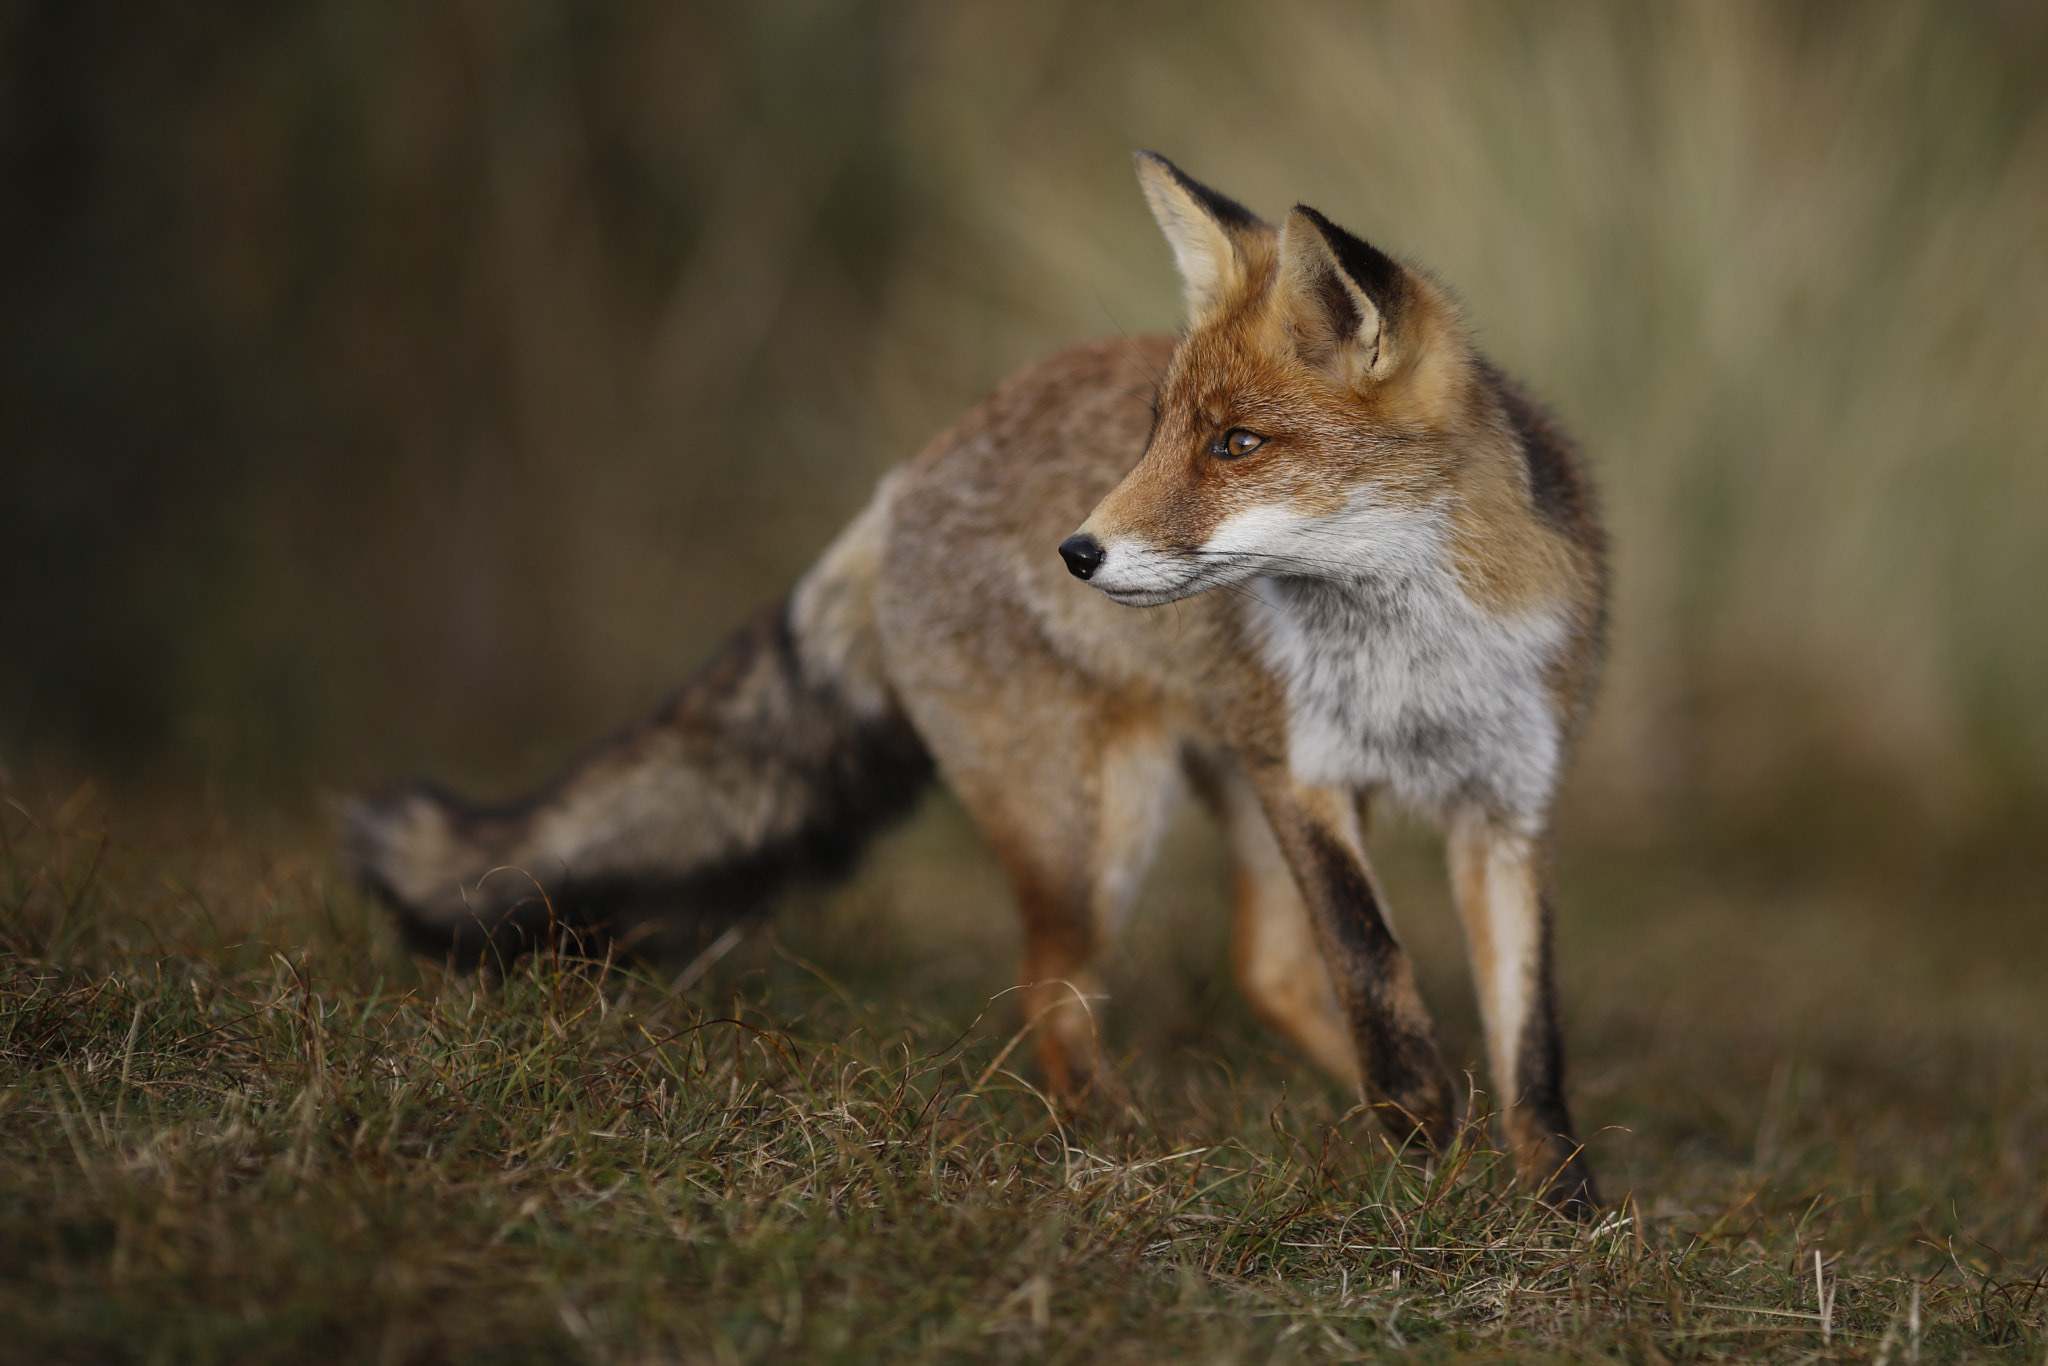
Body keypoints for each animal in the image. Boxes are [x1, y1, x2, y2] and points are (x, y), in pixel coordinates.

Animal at [348, 153, 1607, 1213]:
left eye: (1237, 445)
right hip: (1100, 822)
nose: (1078, 552)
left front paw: (1554, 1207)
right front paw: (1424, 1133)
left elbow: (1529, 1042)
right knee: (1056, 987)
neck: (1415, 664)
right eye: (1156, 431)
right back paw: (1117, 1139)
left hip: (1210, 783)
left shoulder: (1506, 804)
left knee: (1263, 967)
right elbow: (1371, 960)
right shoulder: (1302, 773)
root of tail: (907, 474)